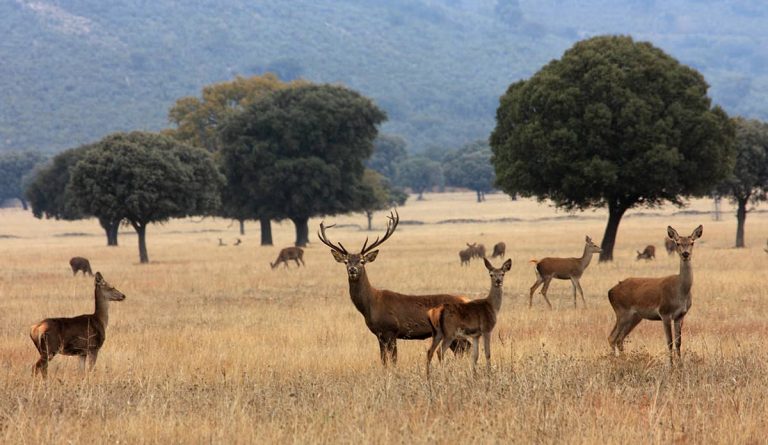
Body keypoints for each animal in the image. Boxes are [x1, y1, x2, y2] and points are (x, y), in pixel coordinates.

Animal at [316, 209, 472, 364]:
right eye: (346, 261)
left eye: (362, 261)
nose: (352, 270)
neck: (371, 304)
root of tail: (466, 300)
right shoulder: (379, 334)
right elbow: (383, 360)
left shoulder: (391, 330)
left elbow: (394, 359)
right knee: (461, 349)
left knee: (465, 347)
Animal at [608, 225, 704, 364]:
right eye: (677, 243)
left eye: (692, 242)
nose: (685, 254)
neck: (681, 291)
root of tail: (610, 292)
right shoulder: (664, 313)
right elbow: (669, 342)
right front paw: (671, 365)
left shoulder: (680, 315)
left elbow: (678, 342)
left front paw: (680, 365)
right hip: (622, 312)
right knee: (612, 337)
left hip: (635, 317)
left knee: (620, 338)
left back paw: (623, 360)